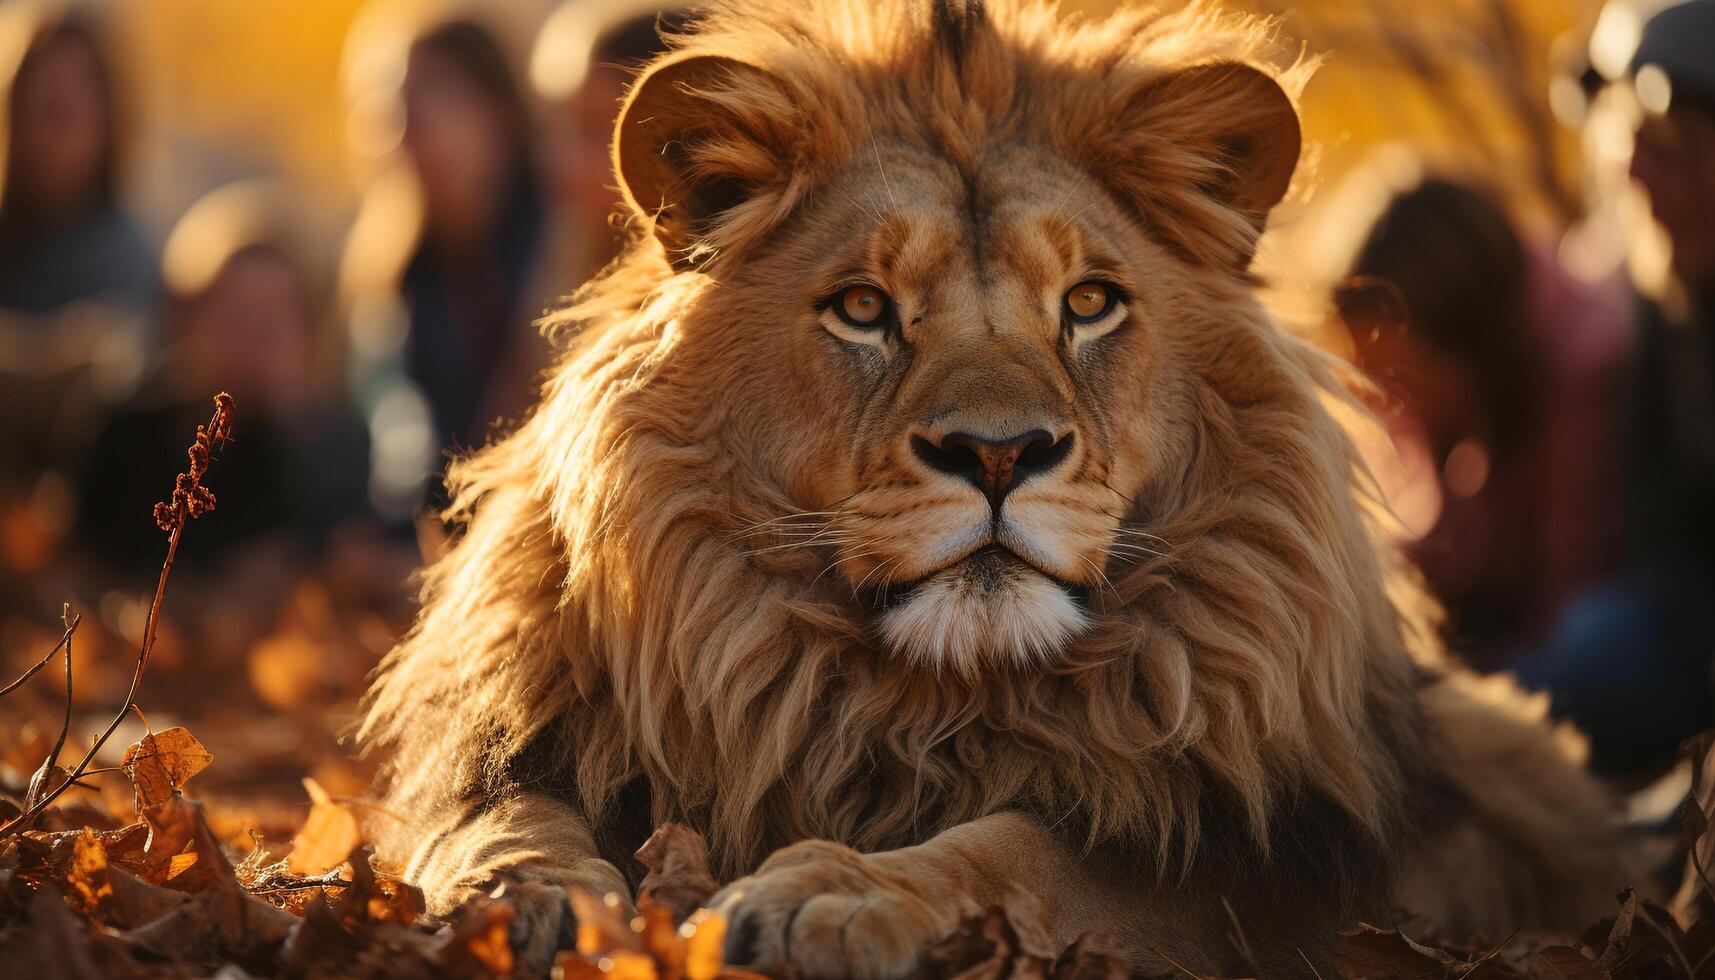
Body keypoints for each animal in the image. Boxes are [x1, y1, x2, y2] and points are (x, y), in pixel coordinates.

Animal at [361, 0, 1632, 974]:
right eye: (863, 308)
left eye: (1088, 303)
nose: (997, 454)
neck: (910, 702)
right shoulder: (520, 740)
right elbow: (496, 819)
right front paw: (524, 898)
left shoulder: (1241, 863)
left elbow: (1019, 845)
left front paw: (833, 893)